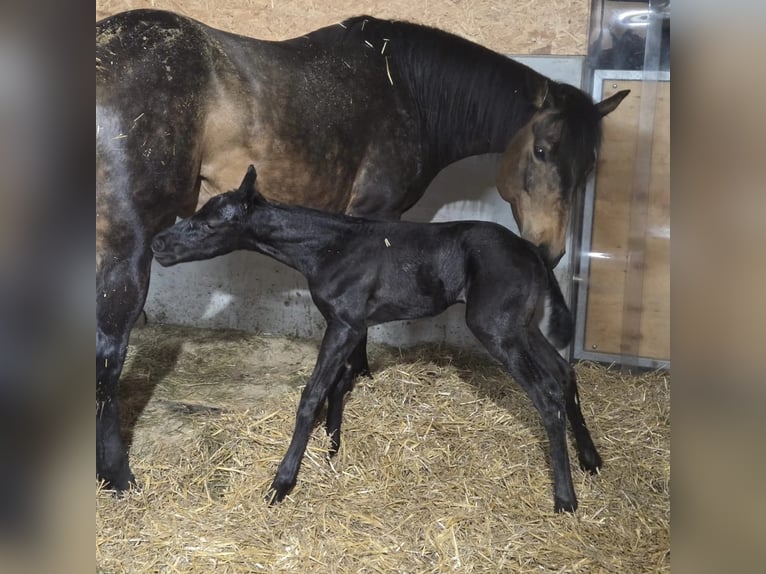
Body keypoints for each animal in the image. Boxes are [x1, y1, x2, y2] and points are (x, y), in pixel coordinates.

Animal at [96, 9, 628, 491]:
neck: (407, 89)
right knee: (110, 350)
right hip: (126, 246)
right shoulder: (378, 213)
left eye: (588, 165)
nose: (549, 249)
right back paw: (117, 475)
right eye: (541, 151)